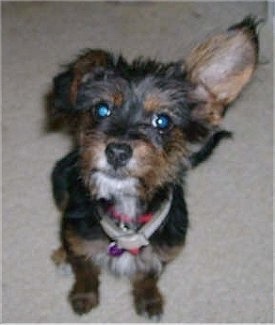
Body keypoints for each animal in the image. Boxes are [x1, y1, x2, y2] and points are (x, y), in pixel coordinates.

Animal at [51, 16, 260, 318]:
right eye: (101, 109)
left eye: (162, 121)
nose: (117, 151)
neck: (126, 216)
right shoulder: (79, 235)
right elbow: (85, 268)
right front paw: (83, 295)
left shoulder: (166, 250)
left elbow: (148, 275)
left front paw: (149, 300)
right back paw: (61, 255)